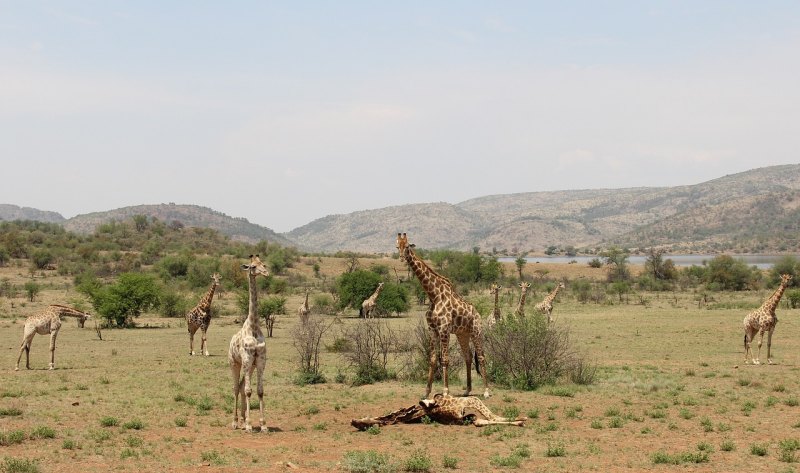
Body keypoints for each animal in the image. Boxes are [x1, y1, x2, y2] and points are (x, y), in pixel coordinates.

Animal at [396, 232, 490, 398]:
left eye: (407, 246)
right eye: (397, 246)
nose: (401, 257)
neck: (434, 296)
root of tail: (478, 313)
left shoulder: (444, 329)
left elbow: (445, 359)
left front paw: (446, 391)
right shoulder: (432, 329)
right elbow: (433, 359)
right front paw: (426, 392)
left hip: (476, 331)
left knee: (481, 356)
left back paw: (486, 391)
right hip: (462, 334)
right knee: (468, 356)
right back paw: (467, 390)